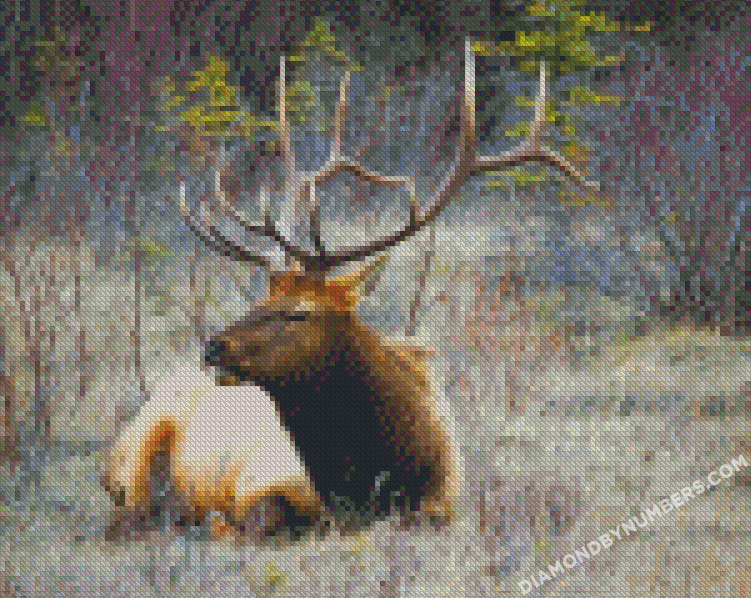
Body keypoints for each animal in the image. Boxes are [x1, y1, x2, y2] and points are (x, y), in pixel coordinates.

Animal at [102, 38, 600, 542]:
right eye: (262, 298)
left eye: (298, 311)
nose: (213, 347)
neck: (378, 473)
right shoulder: (261, 481)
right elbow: (251, 521)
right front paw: (212, 522)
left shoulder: (445, 503)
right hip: (132, 455)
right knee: (127, 514)